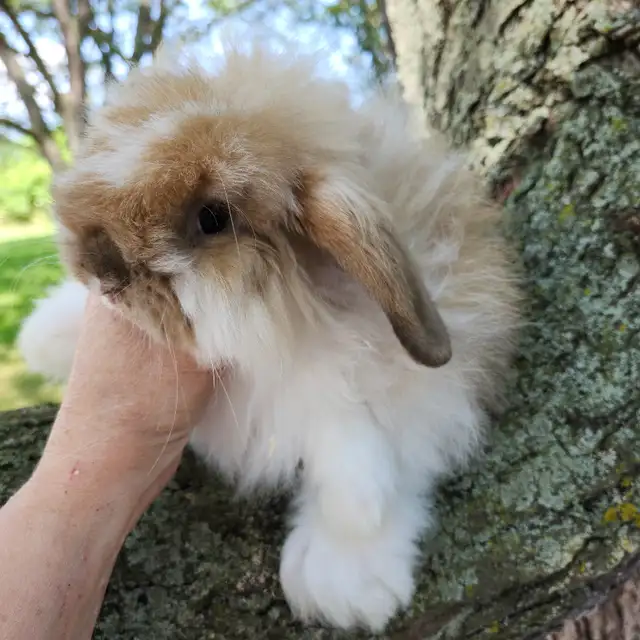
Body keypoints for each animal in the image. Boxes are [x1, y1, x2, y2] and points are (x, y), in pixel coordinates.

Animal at [17, 38, 520, 632]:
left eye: (212, 218)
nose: (101, 268)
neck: (290, 312)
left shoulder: (414, 392)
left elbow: (364, 459)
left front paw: (344, 579)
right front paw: (40, 335)